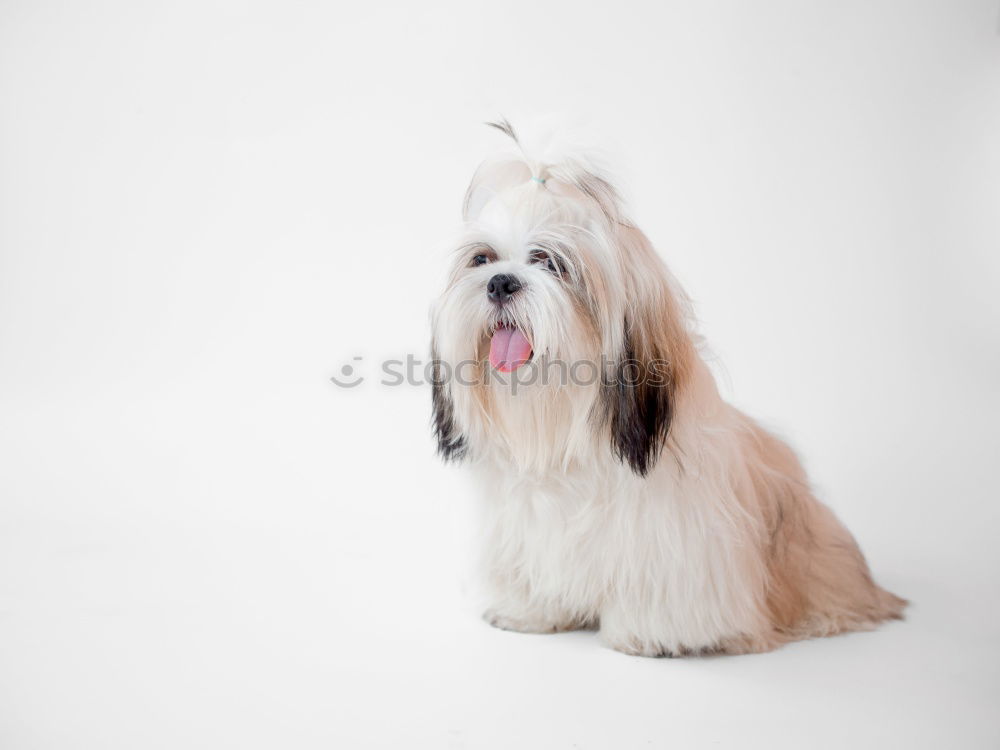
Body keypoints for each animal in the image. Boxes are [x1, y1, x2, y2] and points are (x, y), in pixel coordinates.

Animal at [430, 120, 908, 656]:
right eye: (482, 258)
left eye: (552, 262)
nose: (500, 282)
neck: (563, 431)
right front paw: (527, 612)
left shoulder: (677, 537)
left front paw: (651, 634)